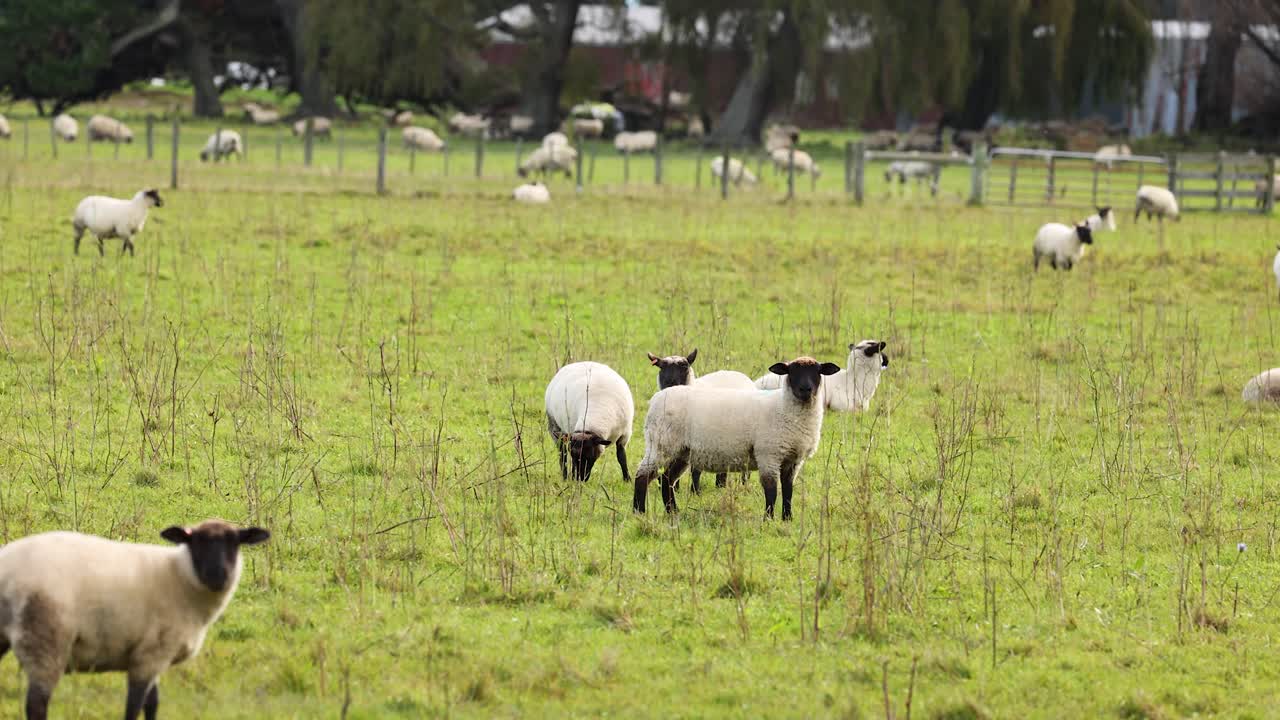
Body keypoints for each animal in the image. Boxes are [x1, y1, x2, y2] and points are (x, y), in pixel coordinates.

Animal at [0, 519, 270, 720]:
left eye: (235, 544)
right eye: (196, 543)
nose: (217, 575)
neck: (178, 578)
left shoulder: (153, 657)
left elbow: (152, 704)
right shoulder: (149, 656)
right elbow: (134, 708)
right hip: (45, 639)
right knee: (36, 706)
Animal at [634, 356, 840, 519]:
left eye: (818, 371)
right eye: (792, 371)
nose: (805, 389)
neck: (783, 407)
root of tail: (657, 397)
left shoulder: (793, 459)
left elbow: (788, 490)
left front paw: (787, 519)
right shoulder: (768, 455)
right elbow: (772, 490)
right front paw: (768, 519)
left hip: (682, 451)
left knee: (667, 478)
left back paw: (672, 512)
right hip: (661, 443)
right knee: (643, 475)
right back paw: (639, 511)